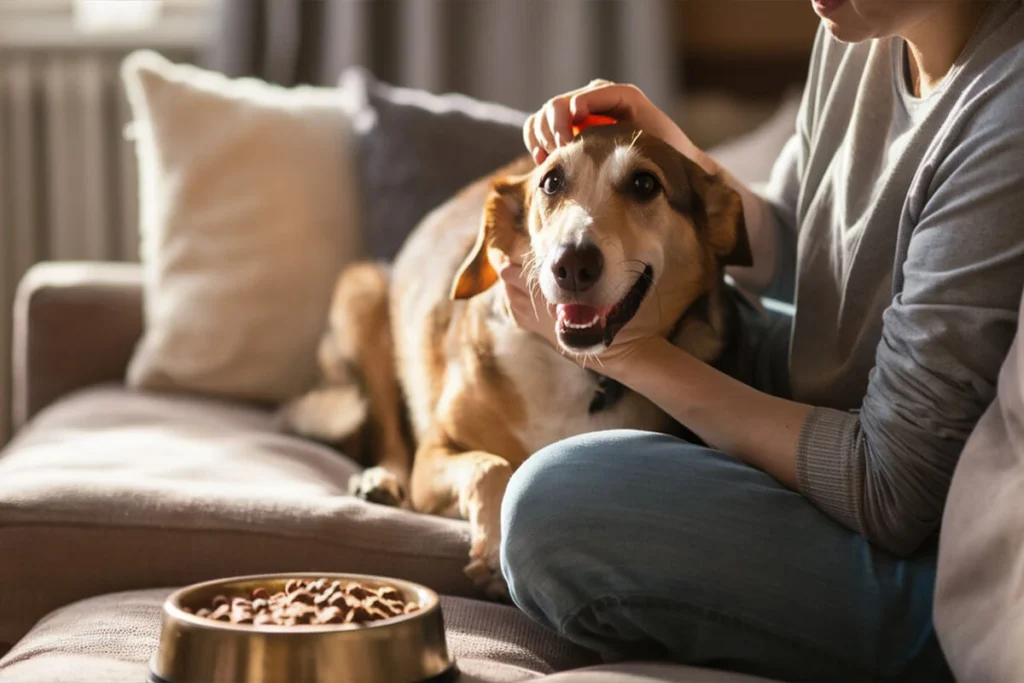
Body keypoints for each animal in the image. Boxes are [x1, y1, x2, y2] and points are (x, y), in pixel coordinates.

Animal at [280, 121, 753, 598]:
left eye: (645, 184)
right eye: (551, 182)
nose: (572, 264)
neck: (574, 370)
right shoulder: (433, 455)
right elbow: (491, 466)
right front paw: (492, 545)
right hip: (361, 292)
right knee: (390, 441)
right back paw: (379, 481)